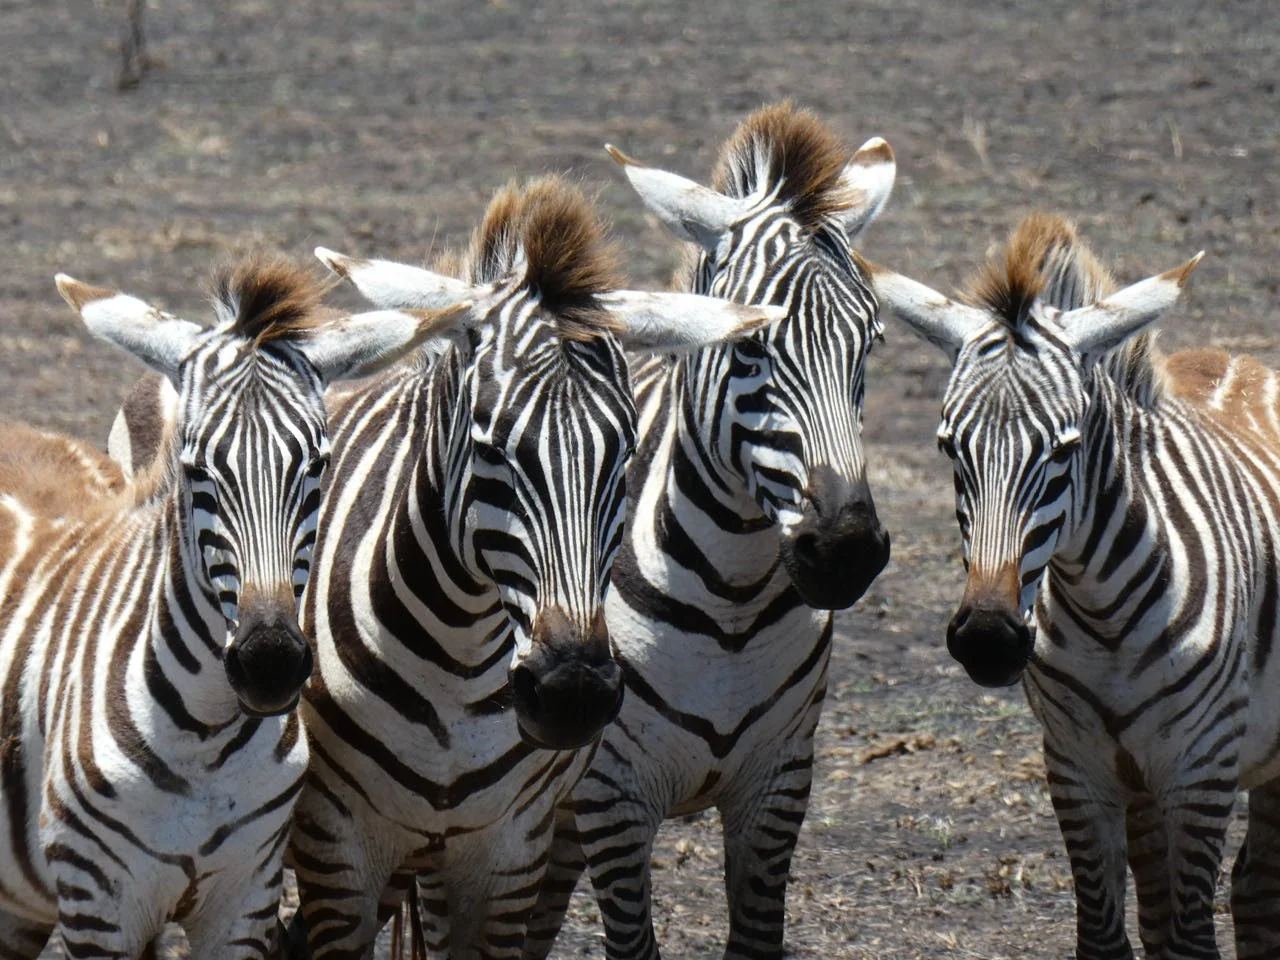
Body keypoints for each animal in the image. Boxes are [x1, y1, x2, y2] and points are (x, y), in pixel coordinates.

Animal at [0, 259, 457, 959]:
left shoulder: (247, 897)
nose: (269, 663)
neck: (205, 737)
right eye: (194, 470)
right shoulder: (98, 905)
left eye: (319, 464)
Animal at [514, 103, 897, 960]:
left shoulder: (778, 784)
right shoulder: (612, 796)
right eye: (749, 345)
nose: (846, 550)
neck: (733, 598)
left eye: (873, 340)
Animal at [867, 213, 1280, 958]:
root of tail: (1234, 356)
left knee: (1254, 891)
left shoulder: (1200, 770)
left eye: (1064, 450)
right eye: (948, 447)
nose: (988, 639)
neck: (1104, 612)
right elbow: (1107, 937)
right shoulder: (1076, 764)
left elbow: (1193, 940)